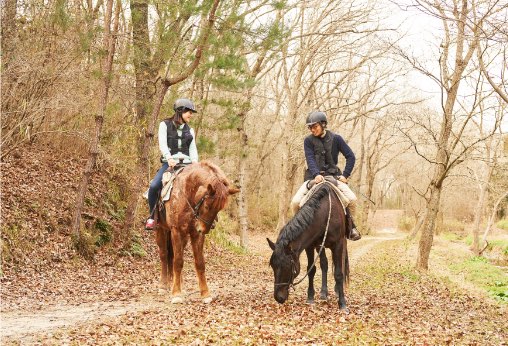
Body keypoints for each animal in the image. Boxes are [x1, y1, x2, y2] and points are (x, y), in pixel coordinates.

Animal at [154, 162, 239, 302]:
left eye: (219, 209)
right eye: (207, 206)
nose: (203, 229)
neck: (186, 194)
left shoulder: (196, 234)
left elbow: (199, 263)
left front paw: (205, 294)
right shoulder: (176, 231)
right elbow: (178, 261)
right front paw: (176, 294)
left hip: (184, 237)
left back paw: (180, 284)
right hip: (161, 230)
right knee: (164, 255)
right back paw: (163, 286)